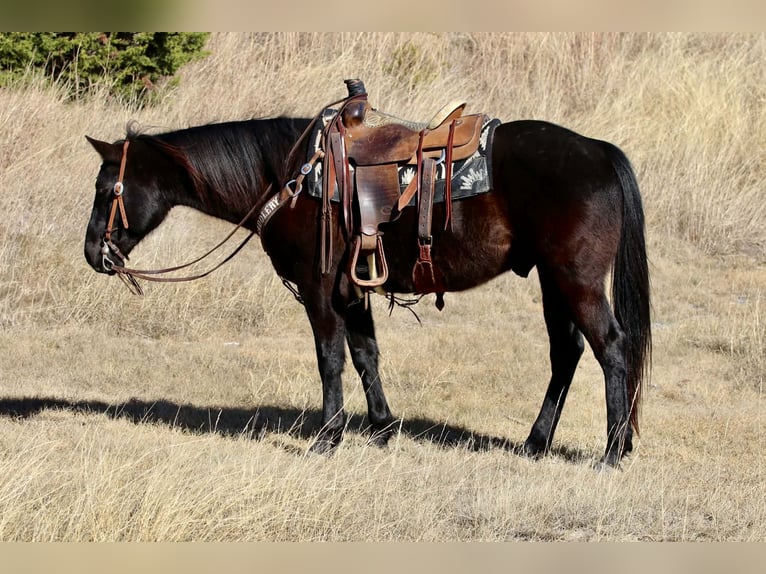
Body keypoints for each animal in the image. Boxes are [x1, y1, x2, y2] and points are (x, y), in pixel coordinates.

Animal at [83, 105, 651, 468]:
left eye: (108, 188)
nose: (93, 253)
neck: (293, 179)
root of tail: (598, 152)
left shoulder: (319, 291)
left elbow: (330, 359)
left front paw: (328, 437)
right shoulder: (352, 291)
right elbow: (365, 356)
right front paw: (380, 427)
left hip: (575, 281)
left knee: (611, 348)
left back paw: (611, 452)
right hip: (554, 283)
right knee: (567, 354)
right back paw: (536, 443)